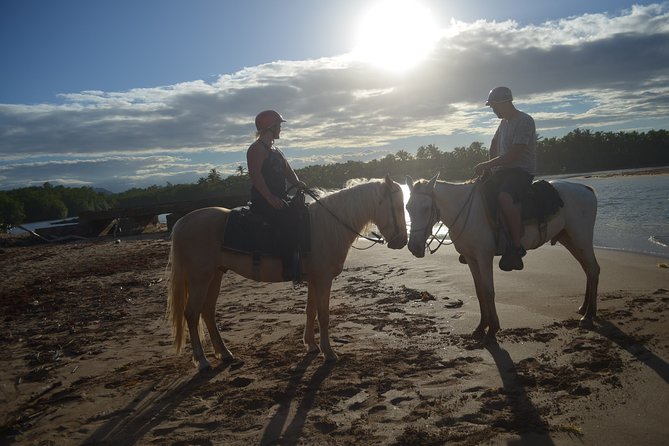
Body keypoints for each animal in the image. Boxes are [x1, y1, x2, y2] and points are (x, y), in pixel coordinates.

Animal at [167, 176, 408, 372]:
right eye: (397, 206)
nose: (402, 242)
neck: (328, 226)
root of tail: (182, 221)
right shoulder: (323, 279)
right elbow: (323, 315)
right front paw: (328, 352)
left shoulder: (314, 279)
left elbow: (310, 311)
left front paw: (311, 345)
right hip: (200, 278)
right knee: (192, 314)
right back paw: (202, 360)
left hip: (215, 275)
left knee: (207, 312)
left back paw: (224, 353)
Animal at [404, 174, 604, 342]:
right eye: (407, 207)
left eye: (426, 208)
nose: (413, 247)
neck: (466, 211)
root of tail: (585, 188)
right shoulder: (471, 258)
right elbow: (479, 291)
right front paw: (480, 327)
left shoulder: (484, 256)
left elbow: (488, 291)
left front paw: (492, 329)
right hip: (569, 238)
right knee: (588, 269)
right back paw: (585, 308)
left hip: (581, 237)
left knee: (593, 269)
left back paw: (588, 316)